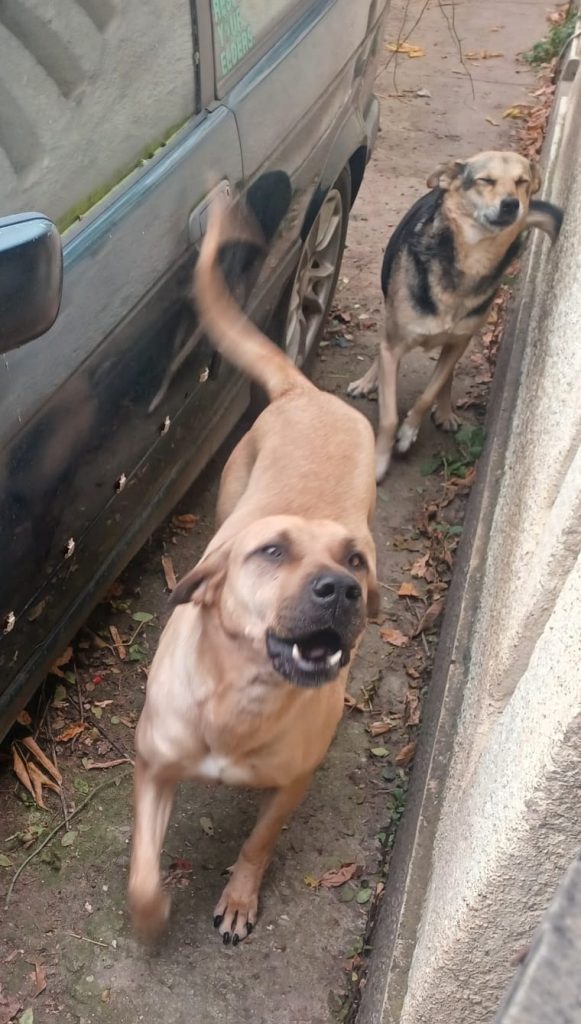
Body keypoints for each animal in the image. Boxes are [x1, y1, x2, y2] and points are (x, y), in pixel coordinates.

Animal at [128, 194, 378, 947]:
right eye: (271, 552)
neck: (241, 697)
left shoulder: (291, 784)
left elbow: (259, 842)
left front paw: (239, 897)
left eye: (355, 561)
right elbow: (144, 875)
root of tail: (304, 391)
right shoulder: (153, 767)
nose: (342, 590)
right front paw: (151, 915)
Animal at [346, 150, 563, 481]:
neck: (471, 260)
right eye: (485, 180)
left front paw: (409, 431)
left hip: (456, 343)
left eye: (522, 182)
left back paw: (445, 410)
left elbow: (428, 393)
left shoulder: (458, 342)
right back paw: (369, 380)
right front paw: (380, 461)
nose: (511, 204)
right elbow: (388, 414)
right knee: (383, 350)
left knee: (444, 376)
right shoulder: (394, 344)